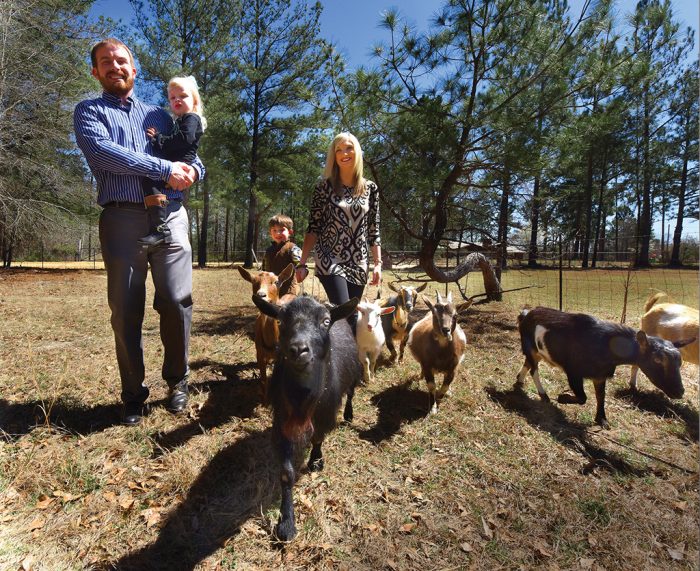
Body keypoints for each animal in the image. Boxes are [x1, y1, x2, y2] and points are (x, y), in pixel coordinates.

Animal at [237, 264, 294, 402]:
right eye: (253, 281)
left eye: (276, 282)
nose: (261, 295)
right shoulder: (259, 353)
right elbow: (263, 380)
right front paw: (264, 401)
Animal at [516, 308, 692, 428]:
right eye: (657, 359)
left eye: (680, 362)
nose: (679, 391)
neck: (605, 344)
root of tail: (526, 313)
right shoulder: (573, 371)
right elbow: (583, 398)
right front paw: (562, 398)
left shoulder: (600, 375)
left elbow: (600, 396)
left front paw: (602, 419)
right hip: (530, 347)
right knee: (533, 369)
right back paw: (543, 395)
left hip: (537, 351)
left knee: (528, 363)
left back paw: (519, 381)